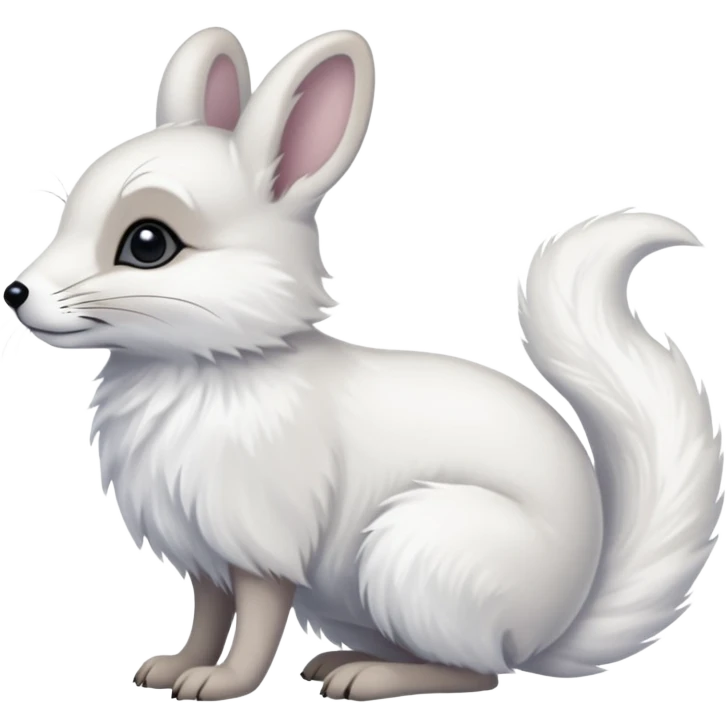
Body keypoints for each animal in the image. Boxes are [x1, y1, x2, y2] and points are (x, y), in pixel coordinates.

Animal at [7, 26, 724, 703]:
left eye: (148, 243)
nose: (15, 293)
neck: (214, 361)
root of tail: (553, 629)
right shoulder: (203, 547)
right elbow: (208, 614)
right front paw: (171, 668)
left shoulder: (263, 539)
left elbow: (256, 617)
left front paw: (221, 684)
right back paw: (338, 663)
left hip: (413, 550)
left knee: (477, 671)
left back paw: (365, 679)